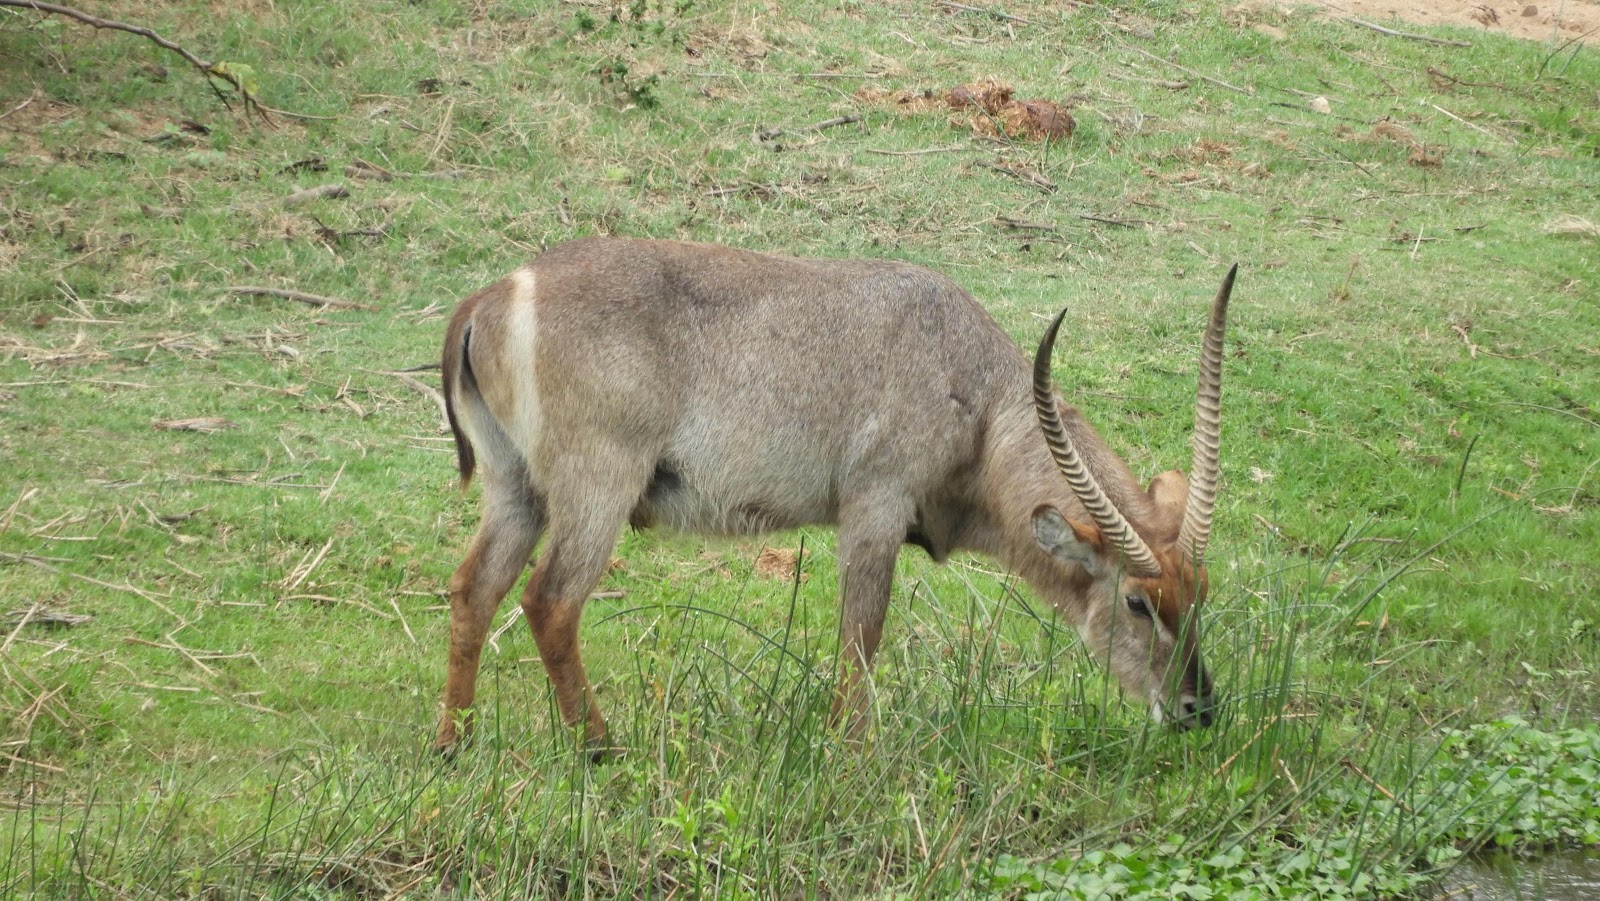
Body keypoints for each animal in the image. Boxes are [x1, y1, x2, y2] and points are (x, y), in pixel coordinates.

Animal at [432, 240, 1228, 755]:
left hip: (516, 488)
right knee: (550, 602)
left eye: (1201, 590)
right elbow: (861, 635)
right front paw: (851, 751)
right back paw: (598, 748)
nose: (1199, 708)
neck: (974, 390)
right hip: (598, 485)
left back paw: (454, 745)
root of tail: (493, 295)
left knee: (475, 588)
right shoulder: (876, 504)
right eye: (1137, 601)